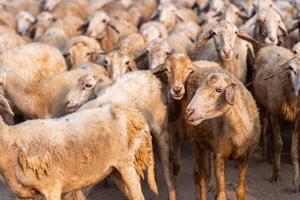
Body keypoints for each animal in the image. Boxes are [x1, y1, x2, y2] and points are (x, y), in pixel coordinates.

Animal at [0, 99, 157, 200]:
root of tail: (131, 113)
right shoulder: (23, 195)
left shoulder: (52, 187)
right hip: (114, 170)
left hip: (126, 164)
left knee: (137, 196)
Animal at [186, 72, 262, 200]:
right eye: (197, 91)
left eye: (218, 90)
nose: (188, 112)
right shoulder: (219, 156)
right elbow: (221, 195)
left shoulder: (246, 156)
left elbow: (240, 191)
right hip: (195, 140)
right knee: (199, 177)